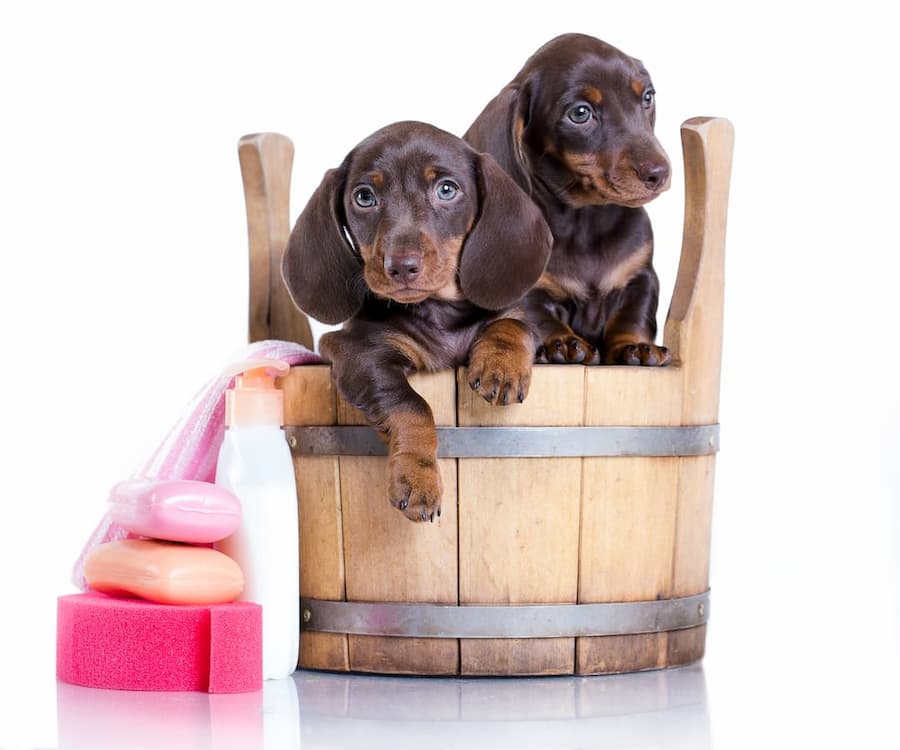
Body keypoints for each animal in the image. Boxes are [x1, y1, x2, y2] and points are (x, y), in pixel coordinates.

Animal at [284, 122, 548, 524]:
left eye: (446, 189)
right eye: (364, 197)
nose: (402, 266)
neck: (440, 311)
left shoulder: (517, 318)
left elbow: (512, 324)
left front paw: (501, 366)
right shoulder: (357, 352)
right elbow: (411, 405)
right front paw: (417, 477)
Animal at [468, 33, 672, 368]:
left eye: (647, 97)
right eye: (580, 113)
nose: (659, 172)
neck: (586, 221)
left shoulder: (640, 277)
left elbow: (633, 317)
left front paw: (636, 346)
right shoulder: (525, 288)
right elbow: (538, 317)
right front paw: (562, 342)